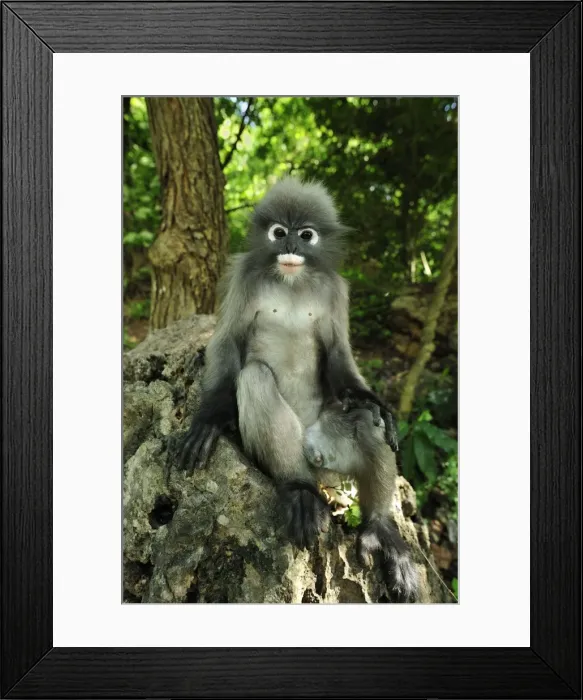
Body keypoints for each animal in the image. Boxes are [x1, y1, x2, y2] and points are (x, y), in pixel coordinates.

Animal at [178, 176, 400, 558]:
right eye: (279, 232)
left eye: (306, 234)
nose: (291, 244)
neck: (291, 282)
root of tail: (314, 453)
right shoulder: (242, 275)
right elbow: (226, 342)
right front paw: (209, 419)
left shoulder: (336, 288)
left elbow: (339, 353)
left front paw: (372, 399)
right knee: (255, 377)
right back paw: (300, 490)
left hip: (334, 447)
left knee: (366, 418)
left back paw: (378, 527)